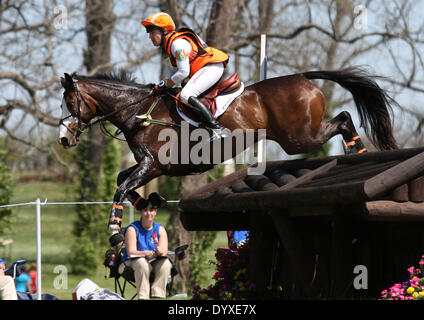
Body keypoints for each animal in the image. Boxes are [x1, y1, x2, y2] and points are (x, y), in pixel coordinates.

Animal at [58, 67, 400, 242]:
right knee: (342, 118)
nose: (63, 138)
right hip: (298, 136)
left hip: (300, 137)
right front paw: (150, 202)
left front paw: (115, 232)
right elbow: (122, 181)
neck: (139, 111)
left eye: (70, 102)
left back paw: (361, 152)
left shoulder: (154, 165)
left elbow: (120, 189)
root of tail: (302, 77)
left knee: (343, 118)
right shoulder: (149, 166)